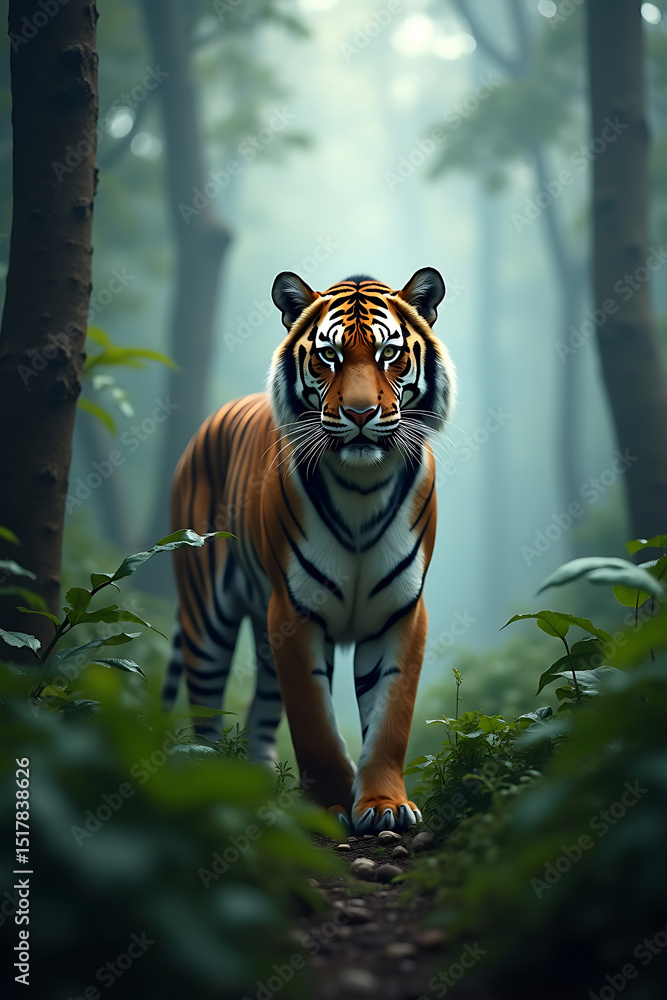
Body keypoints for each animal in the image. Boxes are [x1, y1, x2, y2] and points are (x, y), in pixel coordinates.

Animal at [162, 268, 456, 833]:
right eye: (329, 356)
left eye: (389, 353)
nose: (360, 414)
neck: (363, 487)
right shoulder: (294, 613)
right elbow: (315, 722)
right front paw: (328, 808)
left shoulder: (401, 613)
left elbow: (390, 718)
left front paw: (384, 806)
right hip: (207, 620)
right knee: (205, 713)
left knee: (258, 712)